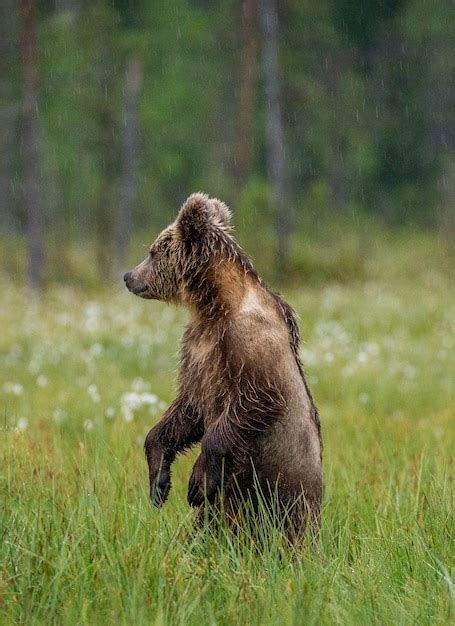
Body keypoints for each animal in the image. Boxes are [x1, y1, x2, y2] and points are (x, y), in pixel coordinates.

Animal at [124, 191, 324, 536]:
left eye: (153, 251)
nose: (128, 276)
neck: (214, 305)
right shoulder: (197, 350)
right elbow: (187, 408)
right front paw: (159, 481)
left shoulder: (247, 341)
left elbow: (255, 399)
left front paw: (196, 482)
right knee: (208, 524)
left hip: (285, 488)